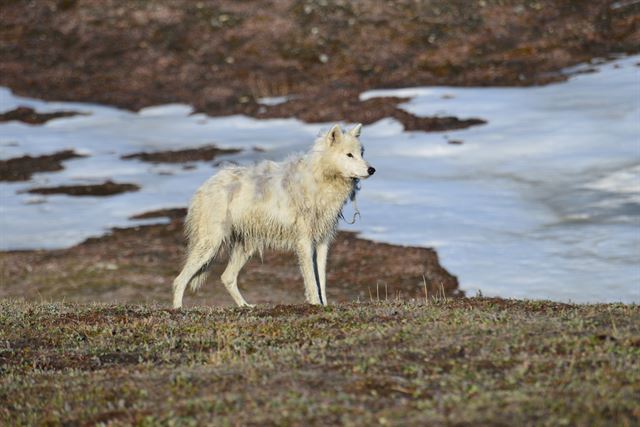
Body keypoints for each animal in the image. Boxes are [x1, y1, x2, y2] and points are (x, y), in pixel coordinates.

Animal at [174, 123, 376, 308]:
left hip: (246, 248)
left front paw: (325, 306)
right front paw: (315, 306)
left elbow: (322, 280)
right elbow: (312, 281)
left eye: (361, 153)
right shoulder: (304, 243)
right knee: (179, 280)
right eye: (349, 155)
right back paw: (178, 310)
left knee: (226, 277)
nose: (372, 170)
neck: (321, 180)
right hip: (211, 245)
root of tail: (205, 186)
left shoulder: (323, 242)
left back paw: (246, 307)